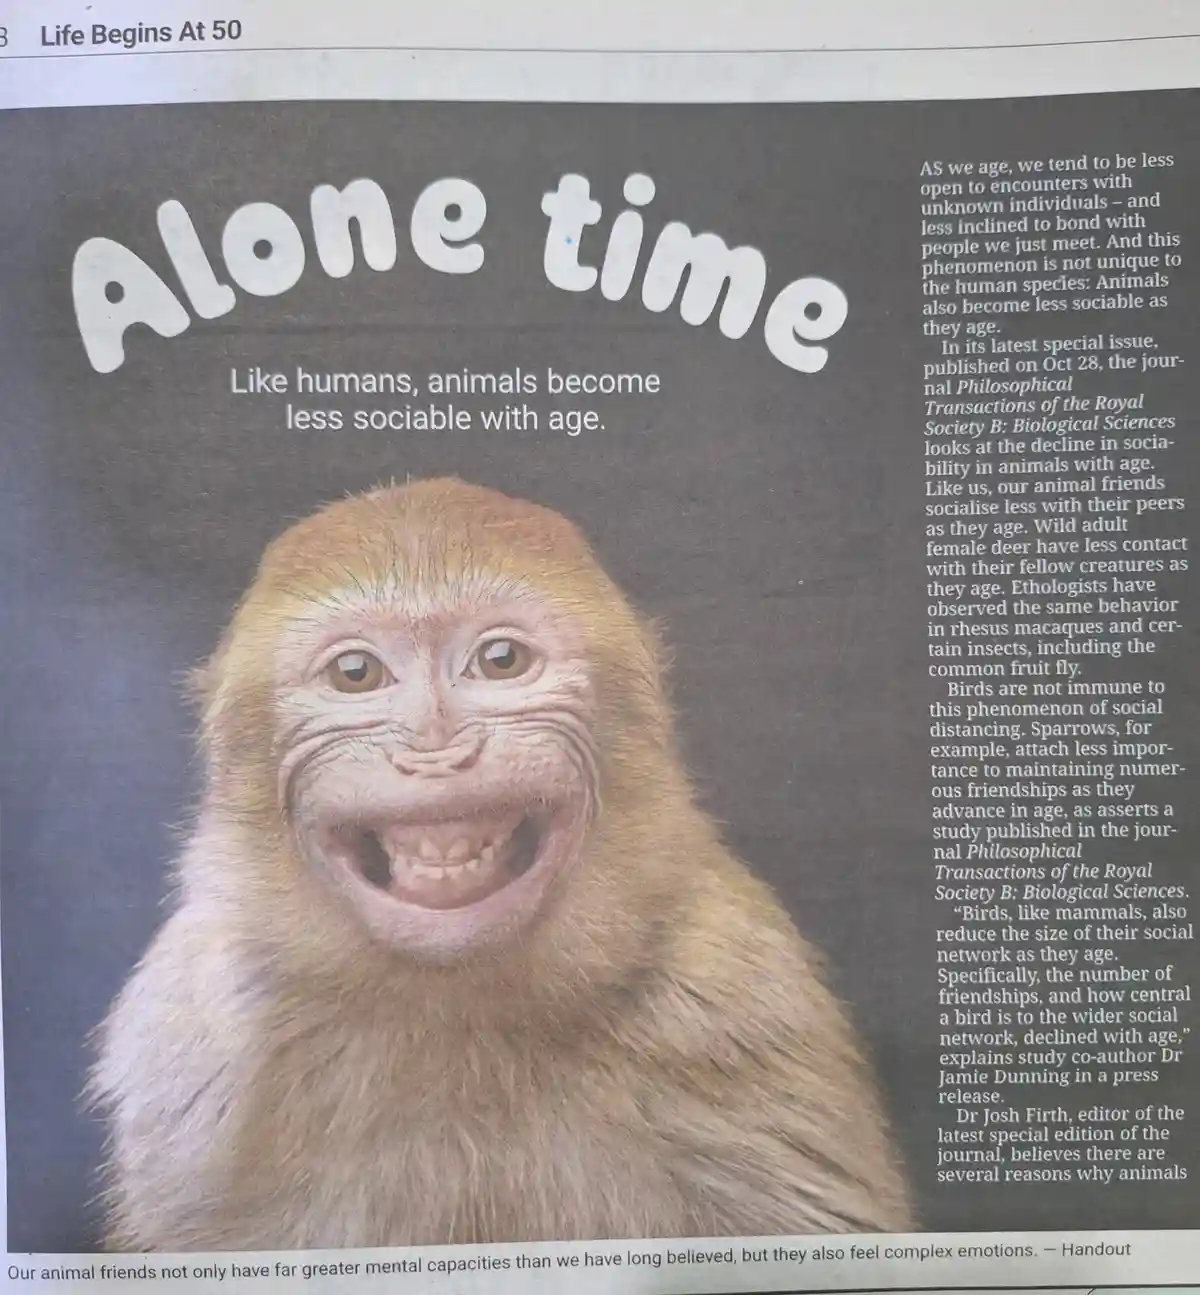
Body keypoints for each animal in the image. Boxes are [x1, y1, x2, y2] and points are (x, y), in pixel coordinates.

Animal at [88, 477, 912, 1251]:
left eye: (501, 660)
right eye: (356, 672)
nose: (434, 748)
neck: (454, 1012)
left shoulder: (740, 1003)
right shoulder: (195, 1045)